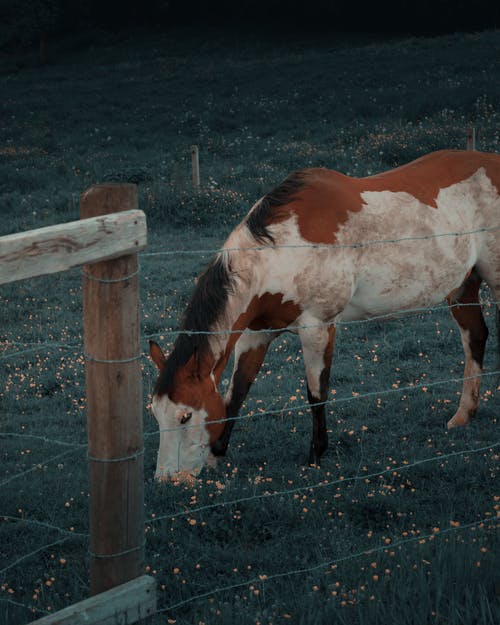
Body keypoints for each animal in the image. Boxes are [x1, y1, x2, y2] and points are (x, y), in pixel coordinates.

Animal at [148, 149, 500, 480]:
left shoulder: (318, 328)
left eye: (185, 416)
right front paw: (218, 453)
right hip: (462, 287)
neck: (282, 250)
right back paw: (463, 415)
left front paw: (316, 454)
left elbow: (316, 393)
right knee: (475, 338)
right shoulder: (255, 334)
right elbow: (237, 392)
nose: (168, 480)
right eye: (156, 414)